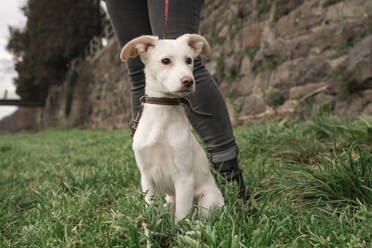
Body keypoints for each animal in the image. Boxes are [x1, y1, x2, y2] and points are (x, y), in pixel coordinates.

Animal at [120, 34, 224, 222]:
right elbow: (152, 210)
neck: (162, 114)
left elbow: (181, 217)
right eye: (166, 61)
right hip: (169, 202)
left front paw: (179, 230)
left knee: (202, 219)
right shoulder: (147, 177)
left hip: (206, 201)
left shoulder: (184, 178)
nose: (188, 81)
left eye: (189, 60)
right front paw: (152, 228)